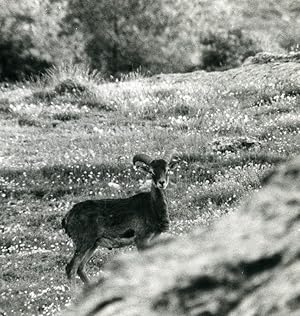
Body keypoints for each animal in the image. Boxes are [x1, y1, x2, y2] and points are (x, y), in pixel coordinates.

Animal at [61, 153, 178, 286]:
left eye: (167, 170)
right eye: (151, 171)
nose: (161, 182)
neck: (152, 208)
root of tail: (68, 217)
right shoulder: (141, 240)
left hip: (92, 245)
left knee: (80, 268)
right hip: (83, 243)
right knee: (71, 268)